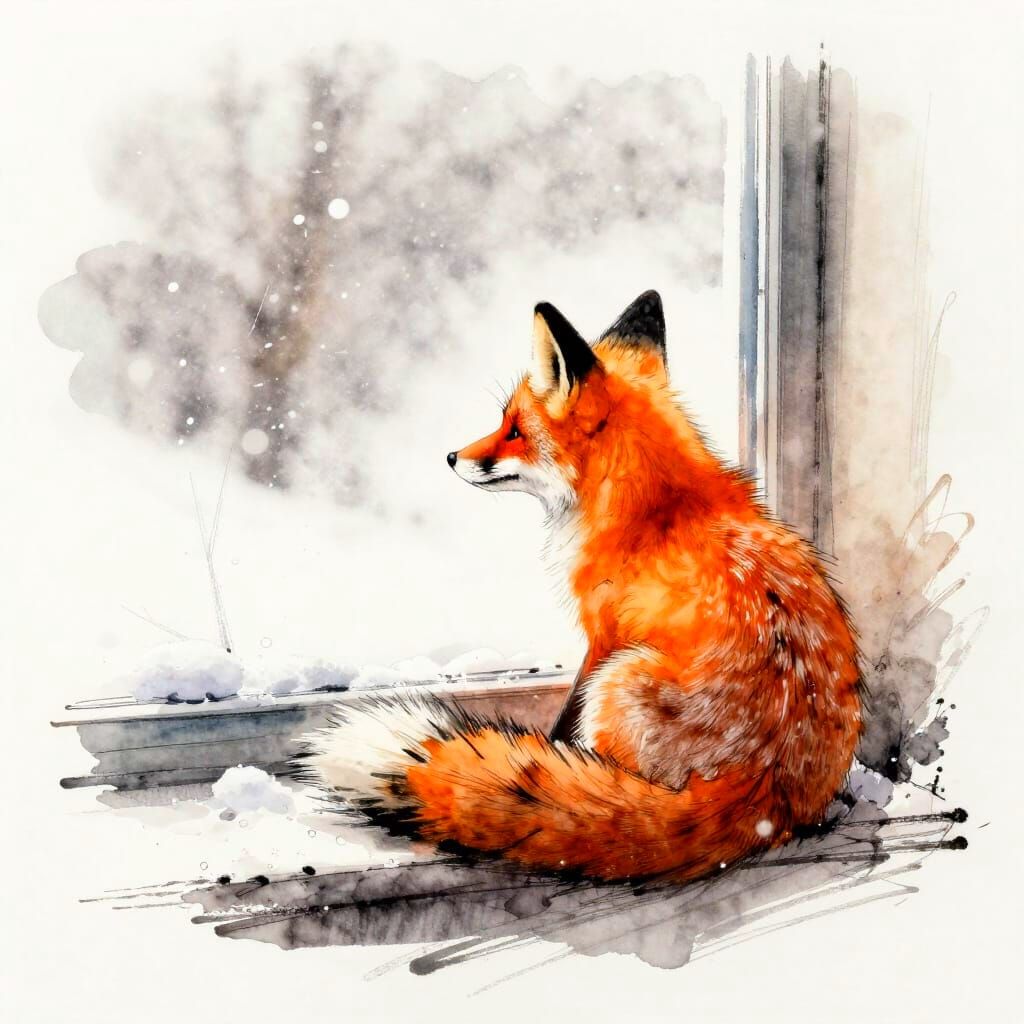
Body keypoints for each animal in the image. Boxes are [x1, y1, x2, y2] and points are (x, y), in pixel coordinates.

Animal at [303, 290, 862, 883]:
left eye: (514, 429)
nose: (453, 456)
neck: (651, 506)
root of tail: (762, 793)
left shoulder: (601, 637)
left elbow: (557, 727)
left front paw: (548, 753)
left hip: (617, 680)